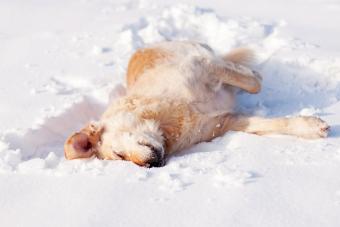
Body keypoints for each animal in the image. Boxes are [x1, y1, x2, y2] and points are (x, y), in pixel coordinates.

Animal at [63, 40, 330, 167]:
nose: (151, 165)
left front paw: (254, 75)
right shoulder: (228, 122)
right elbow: (270, 124)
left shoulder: (201, 65)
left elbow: (254, 84)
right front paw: (311, 127)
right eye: (122, 160)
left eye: (118, 154)